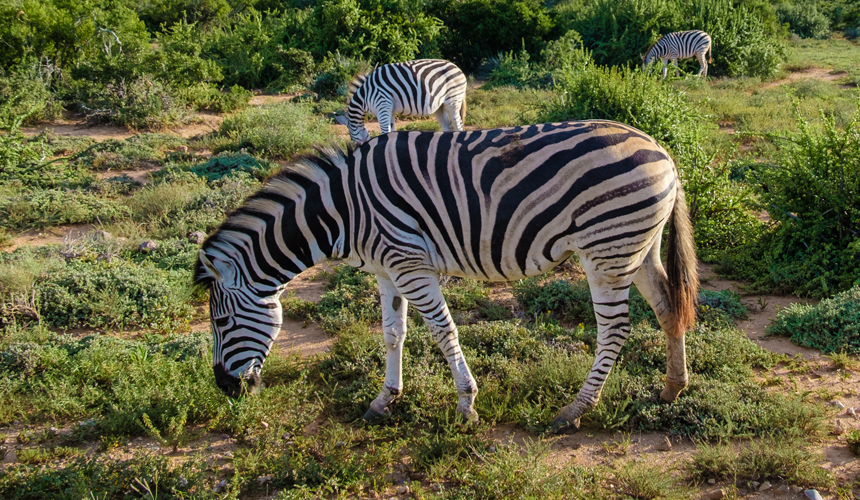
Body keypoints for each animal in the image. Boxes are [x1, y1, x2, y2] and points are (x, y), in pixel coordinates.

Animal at [195, 121, 700, 434]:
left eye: (220, 324)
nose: (224, 388)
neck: (344, 211)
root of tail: (663, 151)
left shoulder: (410, 263)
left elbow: (443, 331)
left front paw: (466, 405)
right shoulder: (386, 269)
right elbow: (393, 333)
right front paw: (385, 400)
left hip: (606, 249)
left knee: (614, 329)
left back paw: (574, 410)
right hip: (636, 246)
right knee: (666, 304)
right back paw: (672, 389)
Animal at [332, 59, 466, 145]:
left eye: (351, 138)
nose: (357, 147)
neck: (365, 97)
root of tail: (457, 67)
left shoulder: (382, 105)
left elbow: (384, 131)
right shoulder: (389, 110)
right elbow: (390, 130)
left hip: (453, 99)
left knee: (458, 124)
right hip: (439, 106)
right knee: (446, 126)